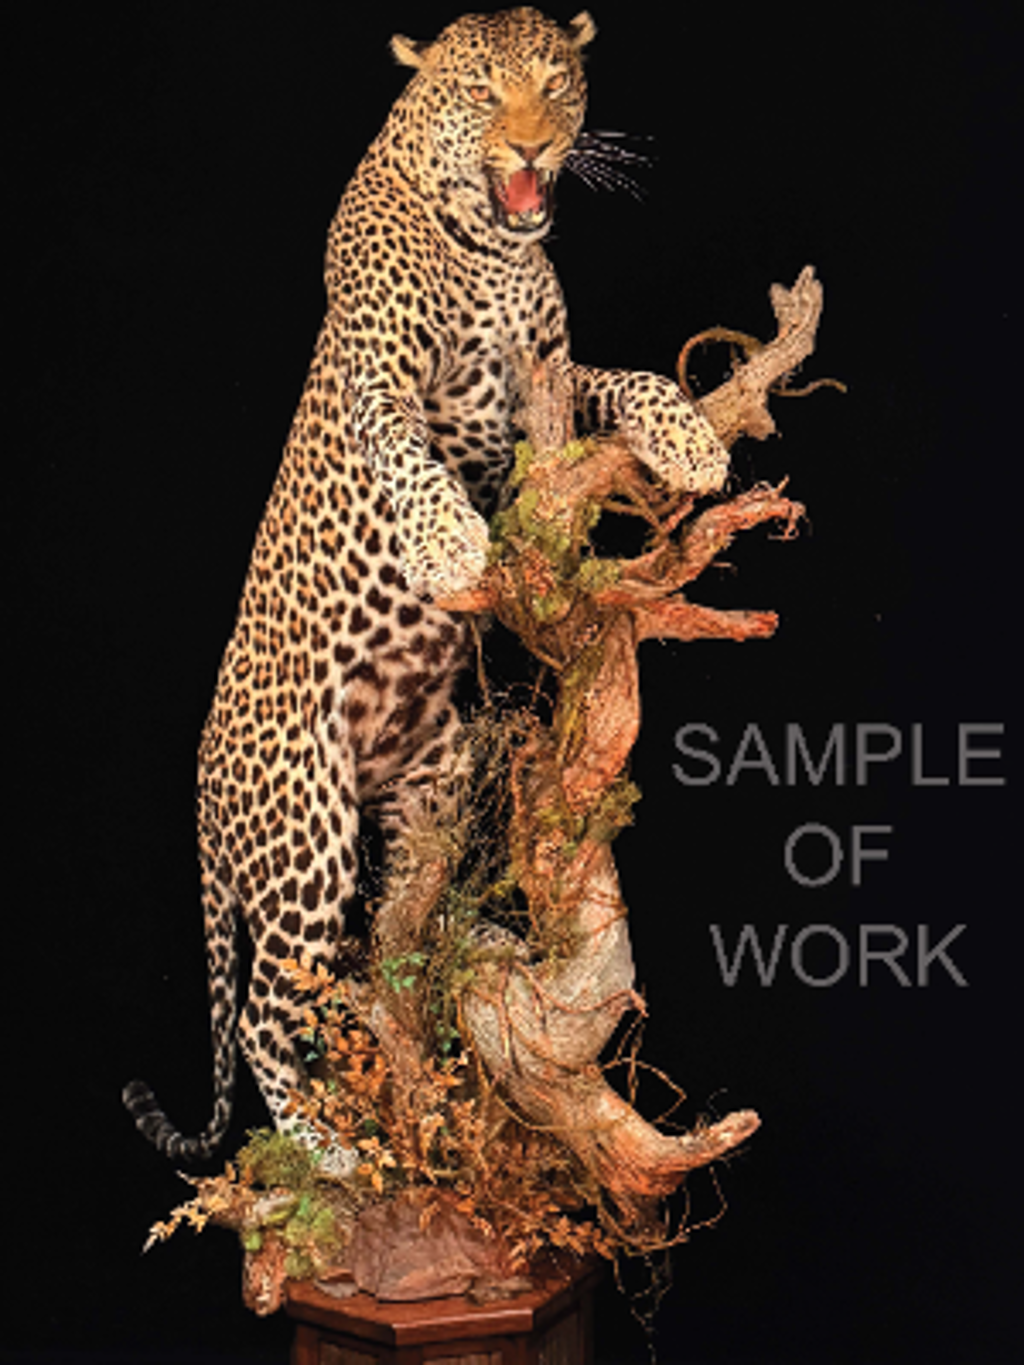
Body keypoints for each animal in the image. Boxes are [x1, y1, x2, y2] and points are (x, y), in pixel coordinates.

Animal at [123, 6, 729, 1164]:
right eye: (483, 93)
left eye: (555, 81)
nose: (534, 146)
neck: (488, 245)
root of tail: (204, 794)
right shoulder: (380, 381)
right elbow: (406, 454)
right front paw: (449, 543)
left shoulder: (547, 381)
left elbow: (628, 378)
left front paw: (690, 440)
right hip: (305, 830)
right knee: (267, 1011)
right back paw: (332, 1153)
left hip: (431, 774)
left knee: (397, 943)